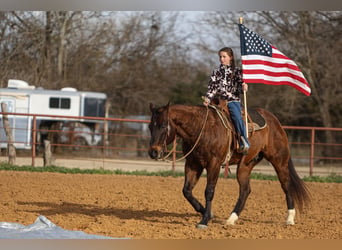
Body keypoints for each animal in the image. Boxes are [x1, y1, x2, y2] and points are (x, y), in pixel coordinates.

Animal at [147, 102, 310, 228]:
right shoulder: (193, 164)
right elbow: (187, 191)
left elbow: (209, 191)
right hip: (245, 165)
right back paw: (231, 219)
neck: (201, 128)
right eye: (150, 127)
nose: (153, 152)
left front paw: (204, 220)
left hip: (279, 160)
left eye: (163, 125)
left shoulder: (214, 163)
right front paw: (208, 213)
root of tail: (275, 121)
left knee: (286, 185)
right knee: (245, 190)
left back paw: (290, 219)